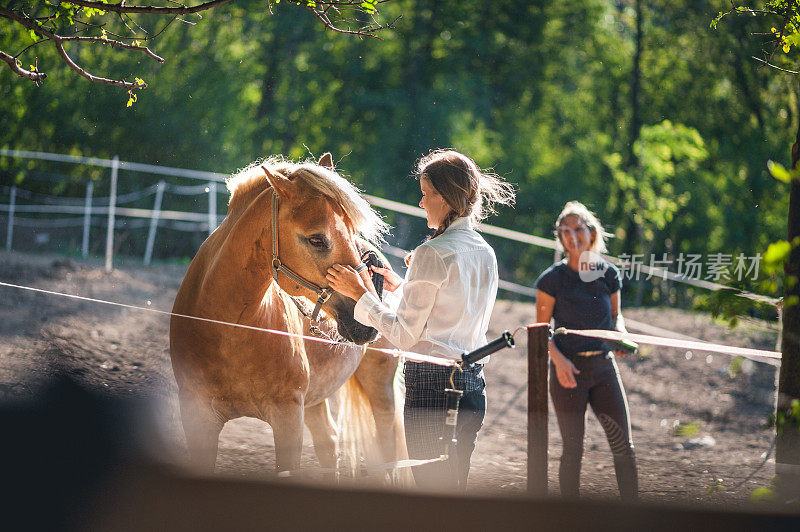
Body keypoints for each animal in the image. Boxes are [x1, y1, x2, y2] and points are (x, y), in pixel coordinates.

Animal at [168, 154, 406, 478]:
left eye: (351, 232)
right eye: (317, 240)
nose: (368, 322)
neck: (226, 328)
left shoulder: (288, 417)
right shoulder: (197, 415)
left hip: (379, 387)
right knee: (330, 444)